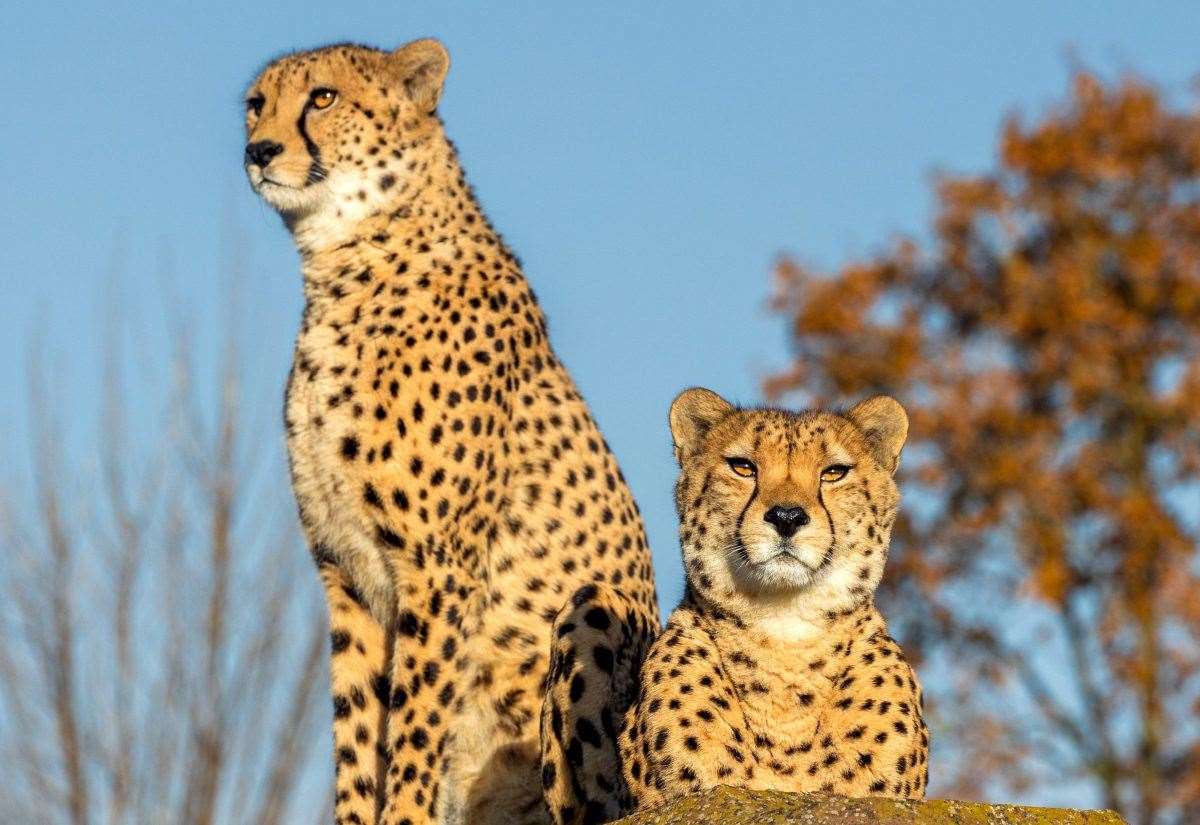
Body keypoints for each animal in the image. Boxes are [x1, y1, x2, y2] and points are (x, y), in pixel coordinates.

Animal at [242, 38, 659, 825]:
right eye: (256, 104)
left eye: (322, 97)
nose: (258, 149)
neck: (343, 268)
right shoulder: (346, 571)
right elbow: (357, 727)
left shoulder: (437, 566)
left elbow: (413, 718)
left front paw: (403, 812)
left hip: (592, 624)